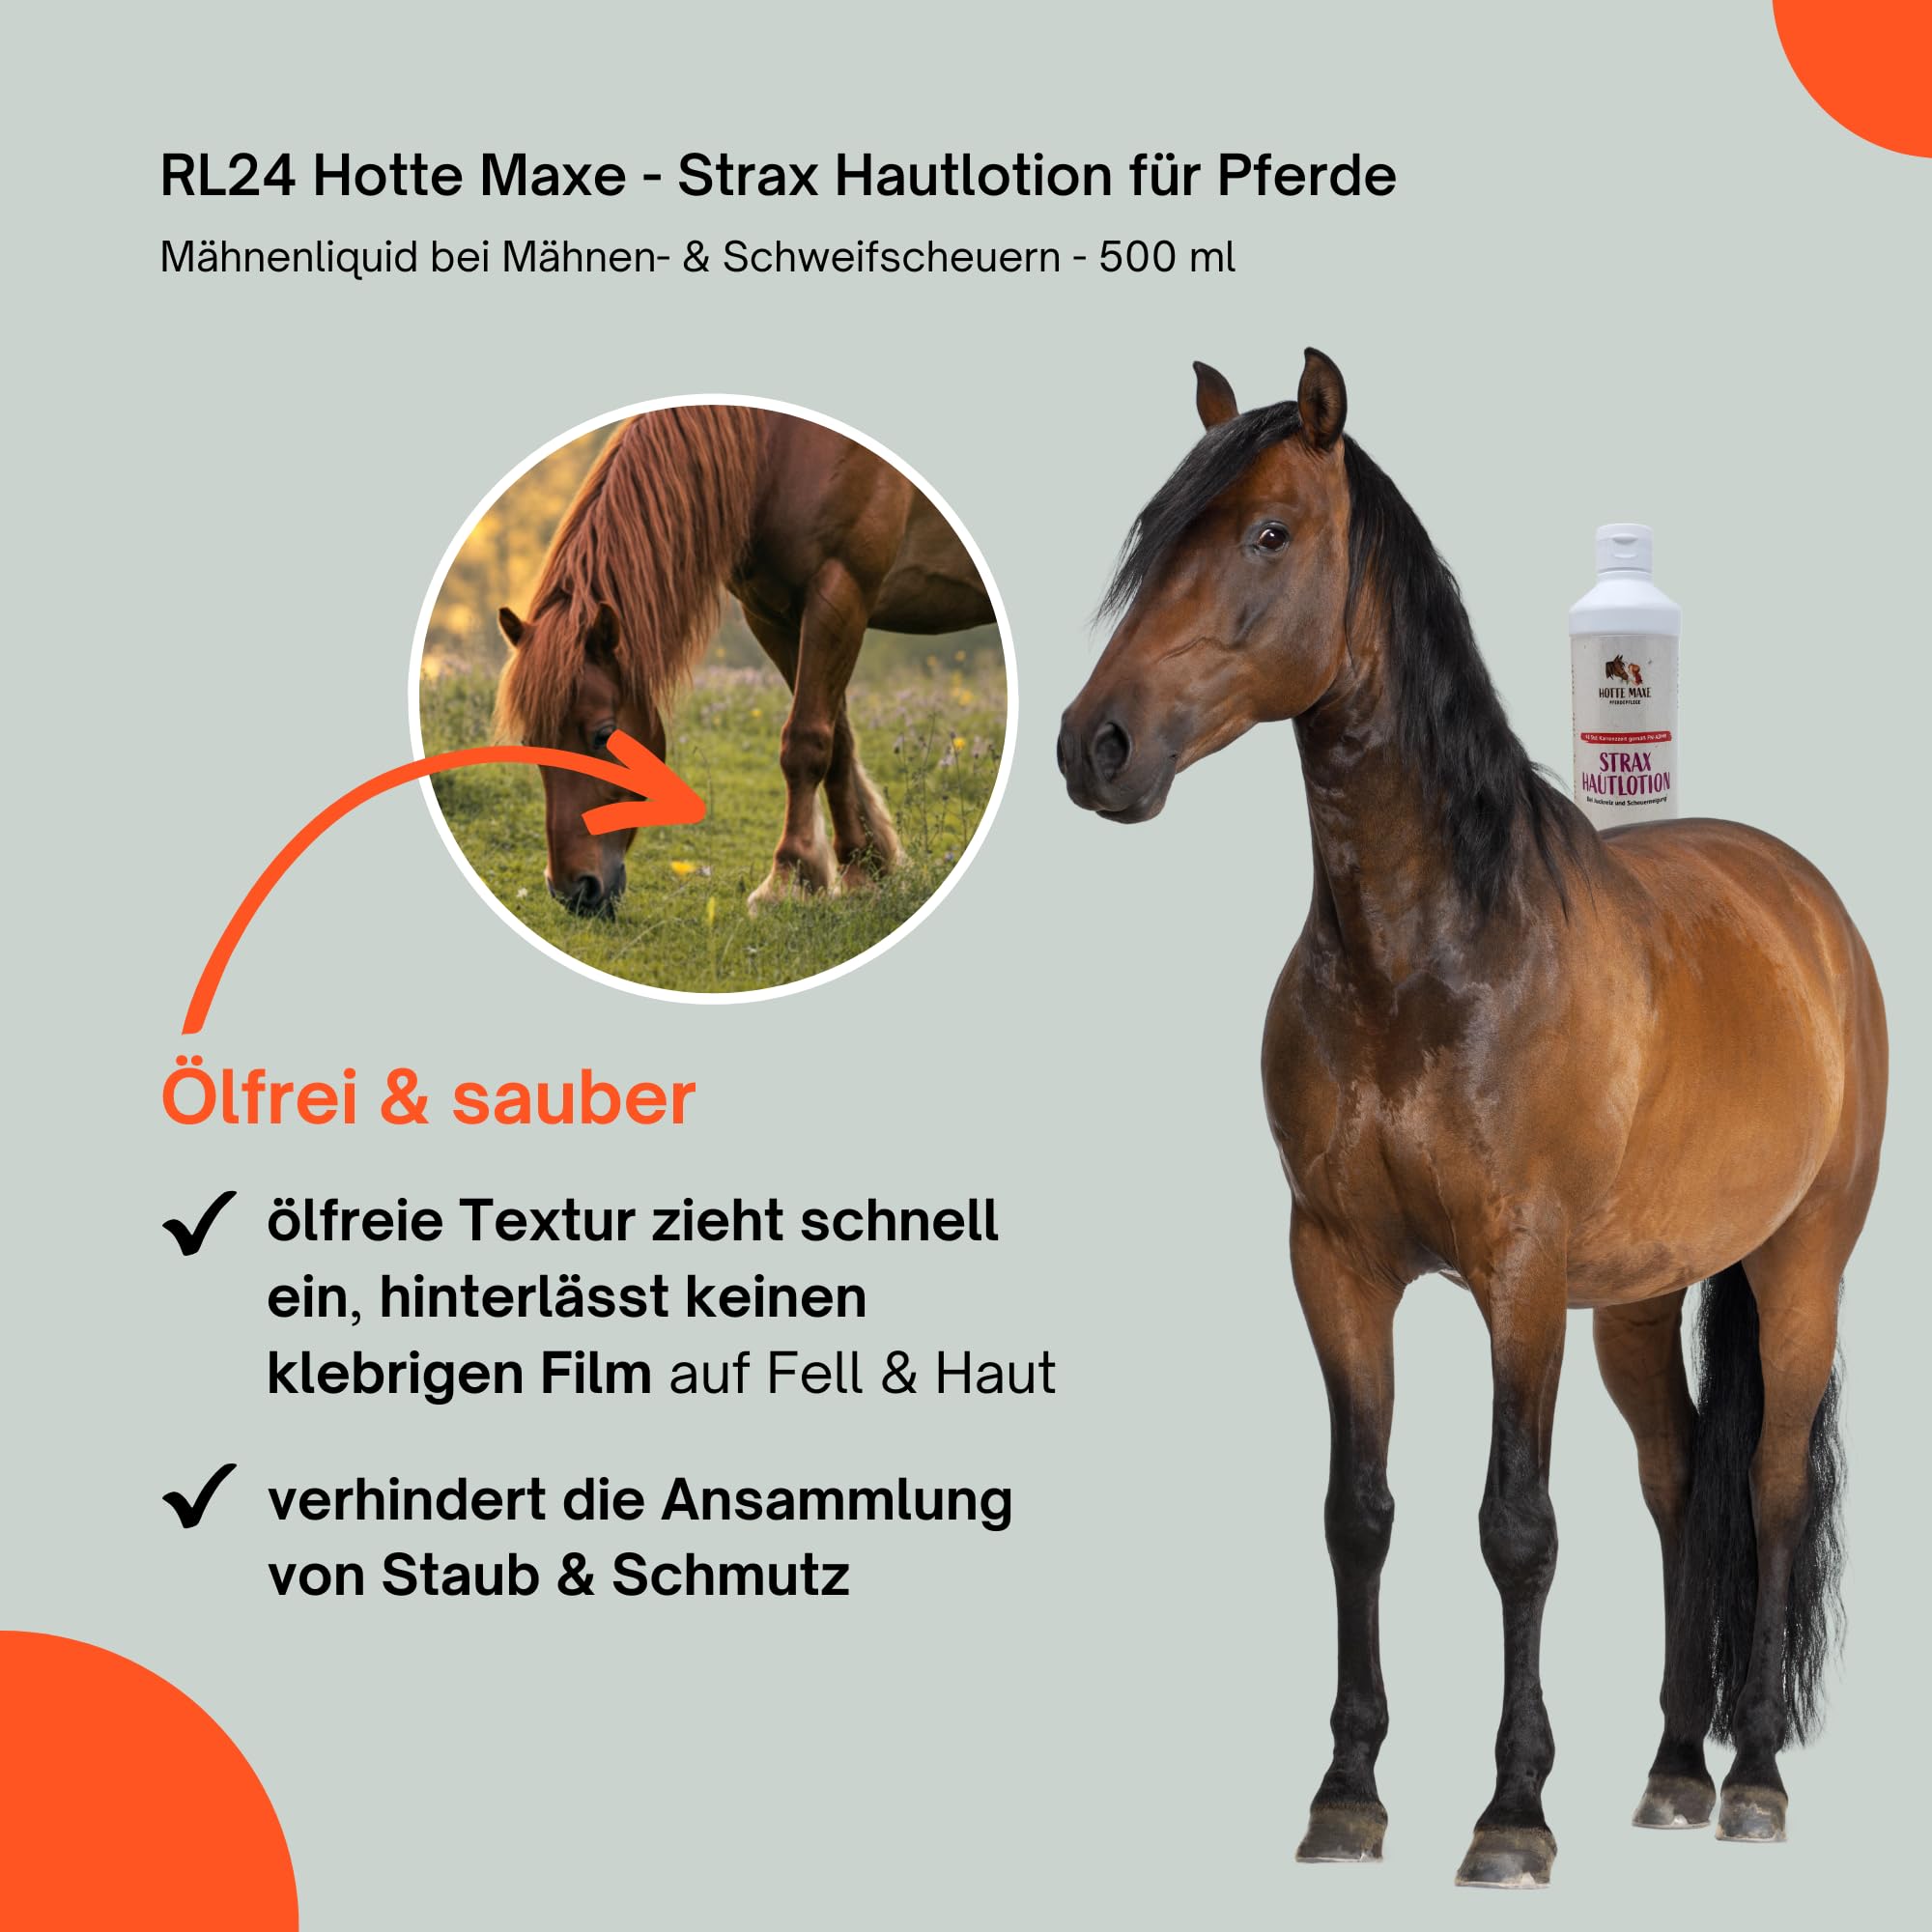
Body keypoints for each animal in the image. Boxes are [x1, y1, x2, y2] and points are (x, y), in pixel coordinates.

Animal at [495, 405, 995, 914]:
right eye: (531, 740)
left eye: (603, 735)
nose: (573, 889)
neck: (778, 451)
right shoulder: (774, 616)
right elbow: (837, 741)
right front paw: (861, 870)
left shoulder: (839, 595)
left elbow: (806, 741)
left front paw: (789, 877)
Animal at [1058, 352, 1886, 1887]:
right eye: (1152, 544)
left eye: (1267, 534)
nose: (1100, 745)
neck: (1433, 958)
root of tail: (1808, 910)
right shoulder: (1334, 1263)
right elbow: (1357, 1513)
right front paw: (1346, 1792)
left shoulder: (1518, 1277)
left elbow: (1517, 1527)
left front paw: (1511, 1812)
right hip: (1637, 1301)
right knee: (1679, 1481)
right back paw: (1669, 1770)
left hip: (1798, 1265)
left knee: (1766, 1487)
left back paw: (1750, 1778)